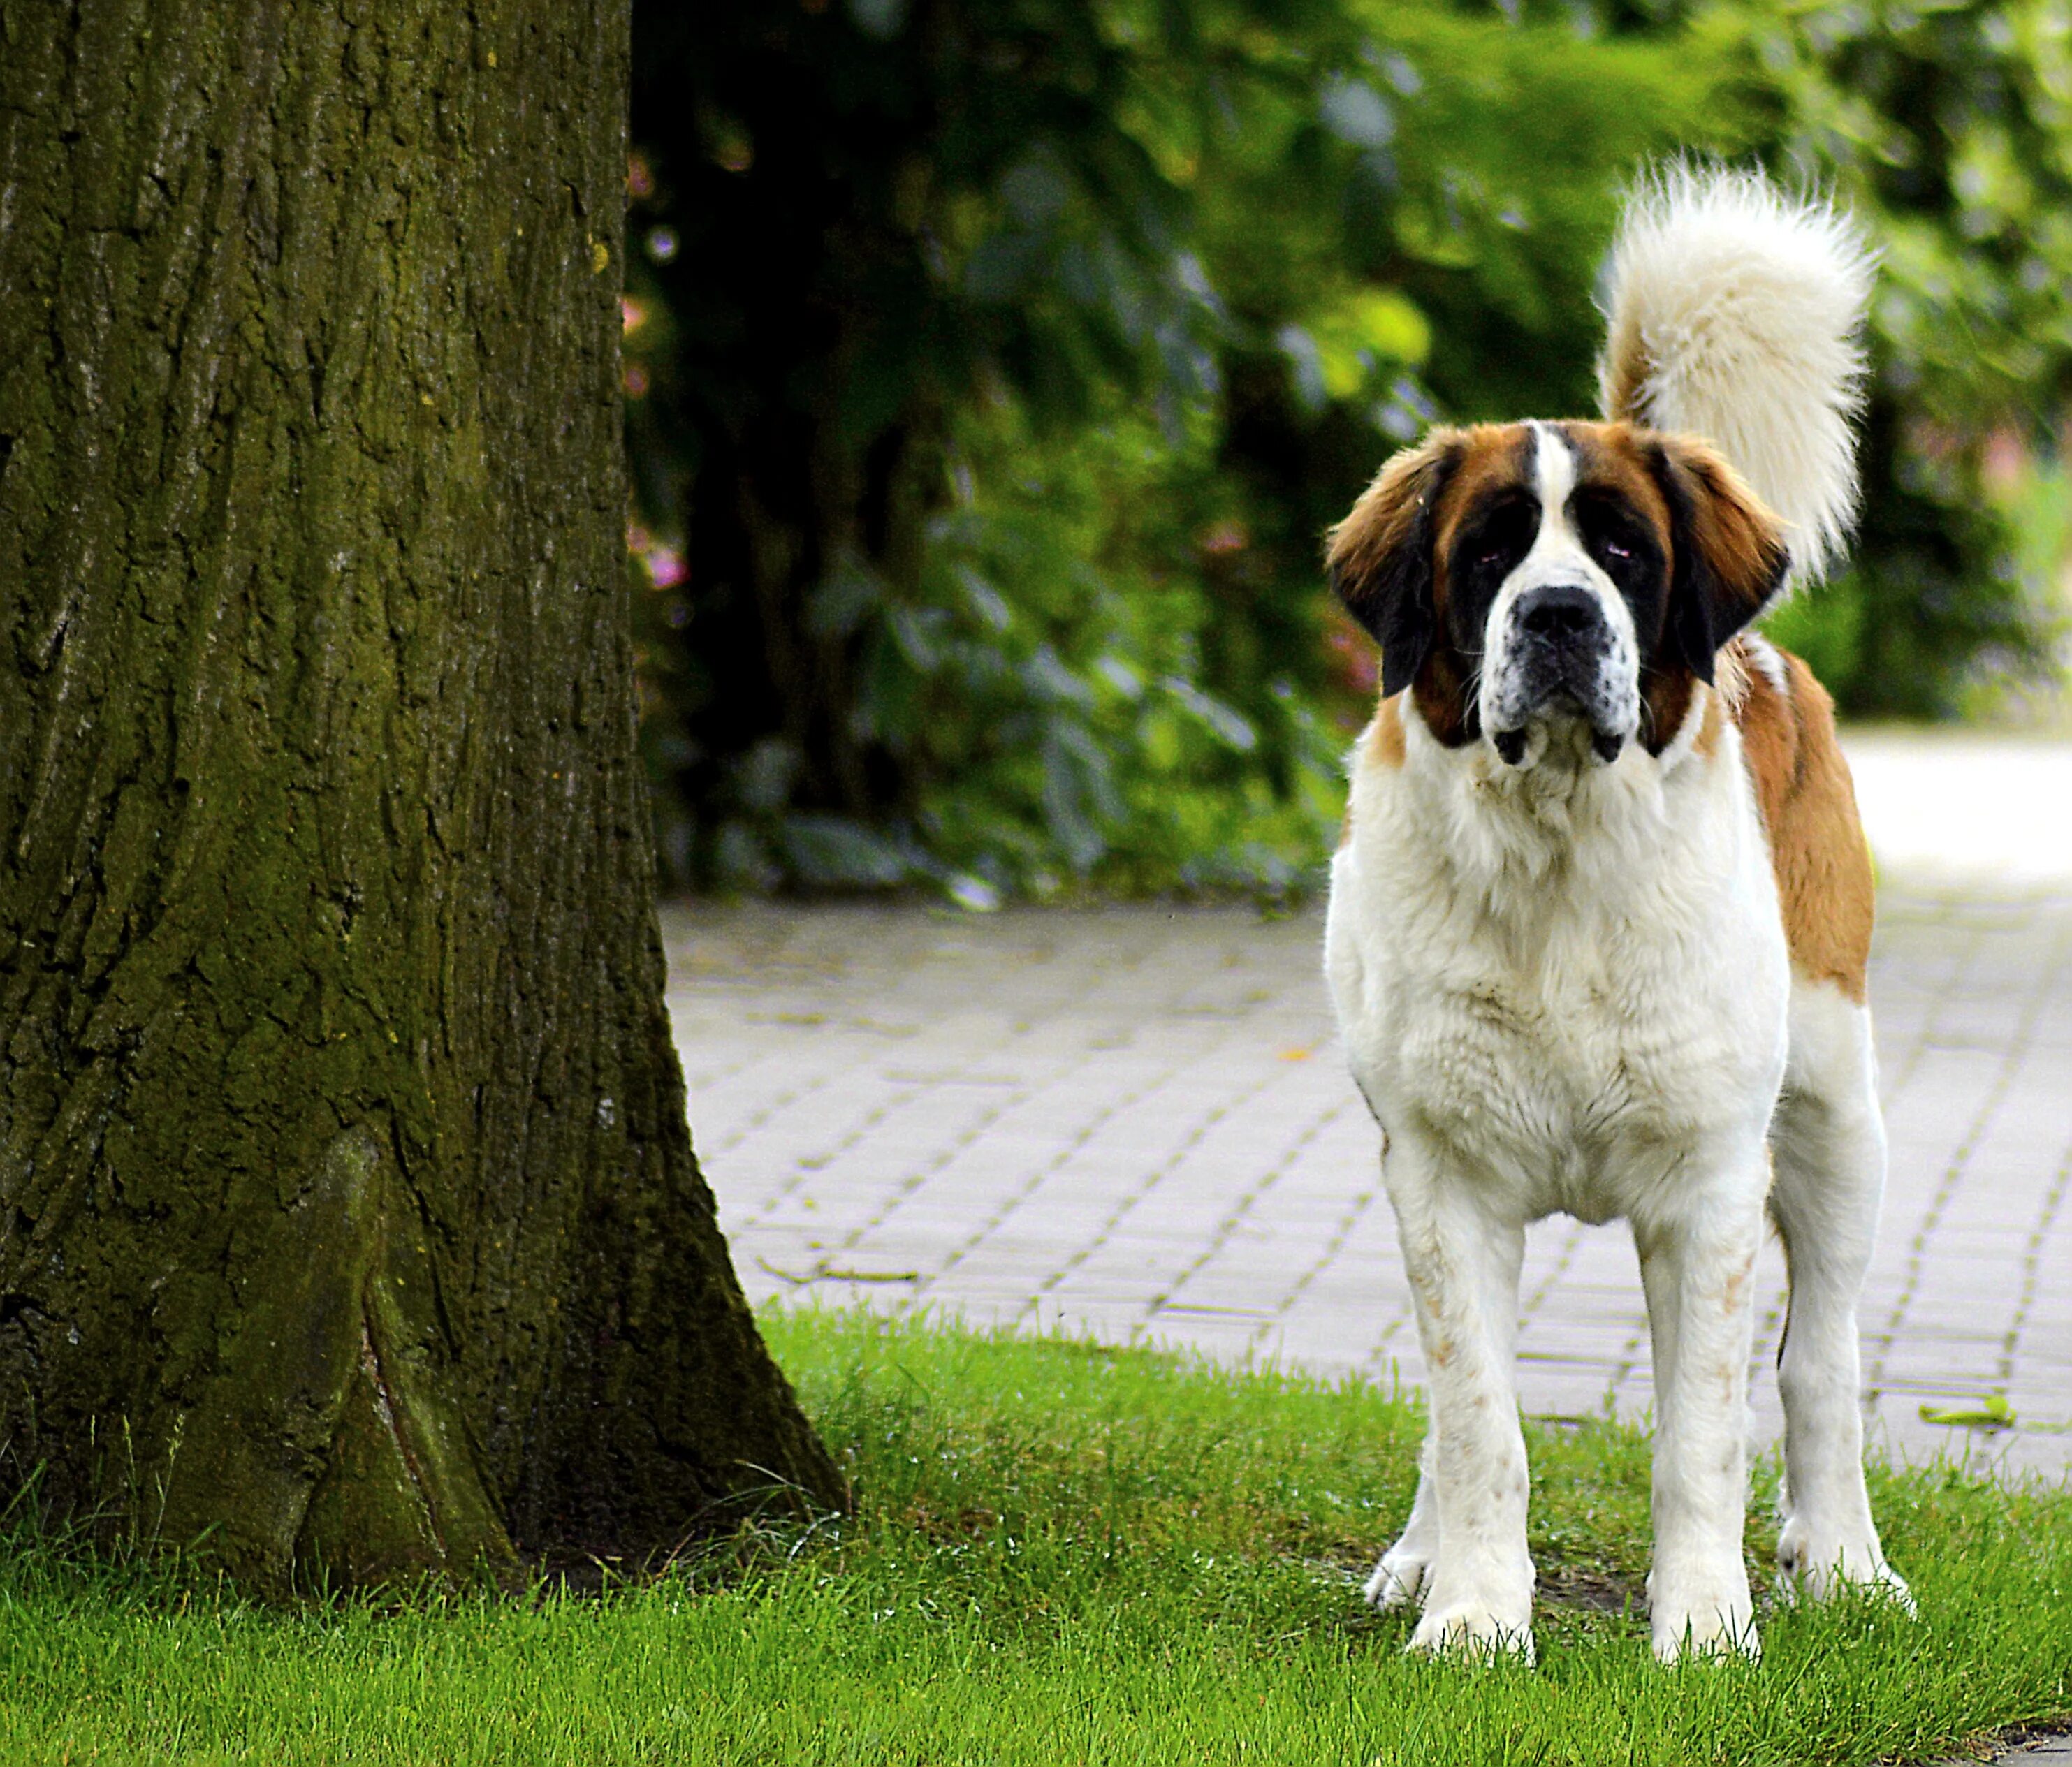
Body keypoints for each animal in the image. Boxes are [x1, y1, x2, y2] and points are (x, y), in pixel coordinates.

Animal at [1326, 161, 1906, 1657]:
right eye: (1486, 556)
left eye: (1624, 555)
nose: (1558, 616)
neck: (1559, 858)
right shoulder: (1440, 1173)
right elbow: (1476, 1416)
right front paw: (1471, 1618)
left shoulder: (1706, 1186)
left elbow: (1702, 1430)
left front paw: (1703, 1630)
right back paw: (1418, 1558)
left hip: (1834, 1109)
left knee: (1822, 1360)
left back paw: (1844, 1561)